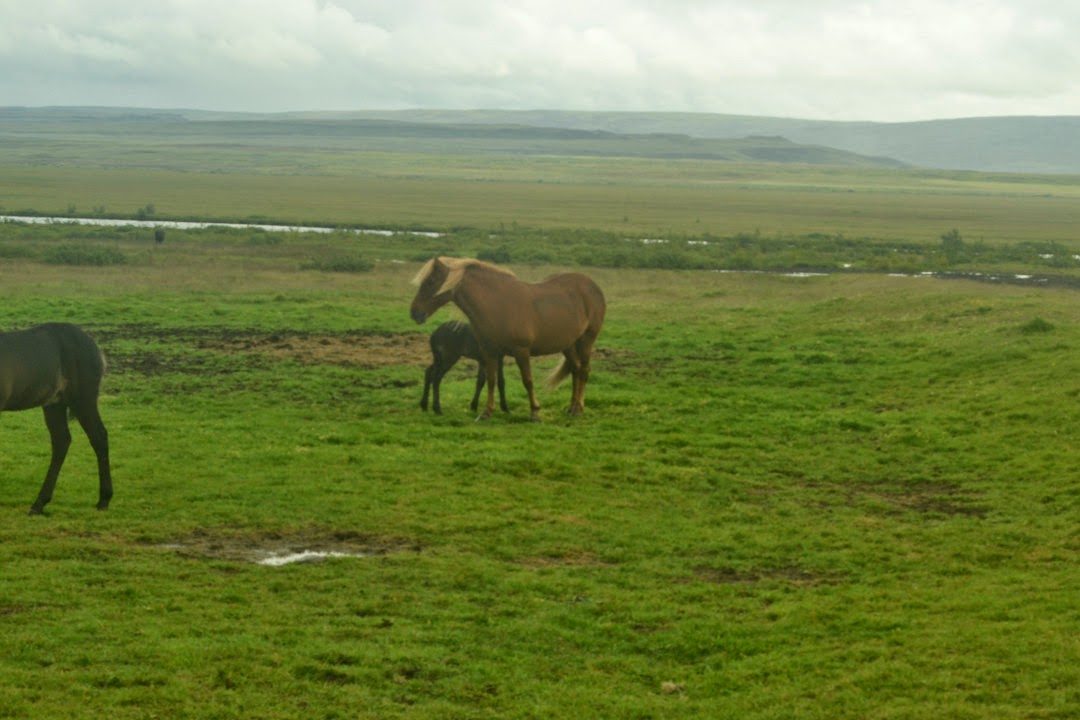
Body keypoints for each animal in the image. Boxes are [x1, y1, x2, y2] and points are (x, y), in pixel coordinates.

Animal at [0, 323, 112, 515]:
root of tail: (94, 346)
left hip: (83, 400)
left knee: (99, 437)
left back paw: (103, 500)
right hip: (55, 404)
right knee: (62, 440)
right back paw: (39, 503)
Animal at [410, 257, 606, 421]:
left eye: (431, 282)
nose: (415, 313)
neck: (498, 304)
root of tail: (592, 287)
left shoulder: (521, 351)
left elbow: (527, 381)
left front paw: (535, 412)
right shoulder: (489, 352)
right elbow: (491, 381)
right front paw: (486, 412)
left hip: (586, 340)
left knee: (584, 370)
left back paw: (578, 408)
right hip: (568, 345)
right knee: (575, 369)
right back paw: (571, 407)